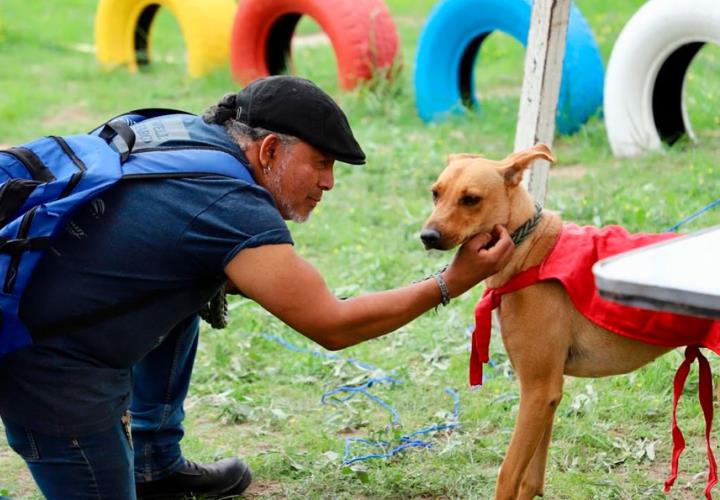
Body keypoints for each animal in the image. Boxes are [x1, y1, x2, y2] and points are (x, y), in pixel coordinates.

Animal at [420, 143, 716, 498]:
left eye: (471, 199)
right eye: (436, 193)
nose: (426, 236)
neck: (529, 250)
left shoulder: (538, 389)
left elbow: (507, 475)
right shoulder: (546, 394)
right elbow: (531, 479)